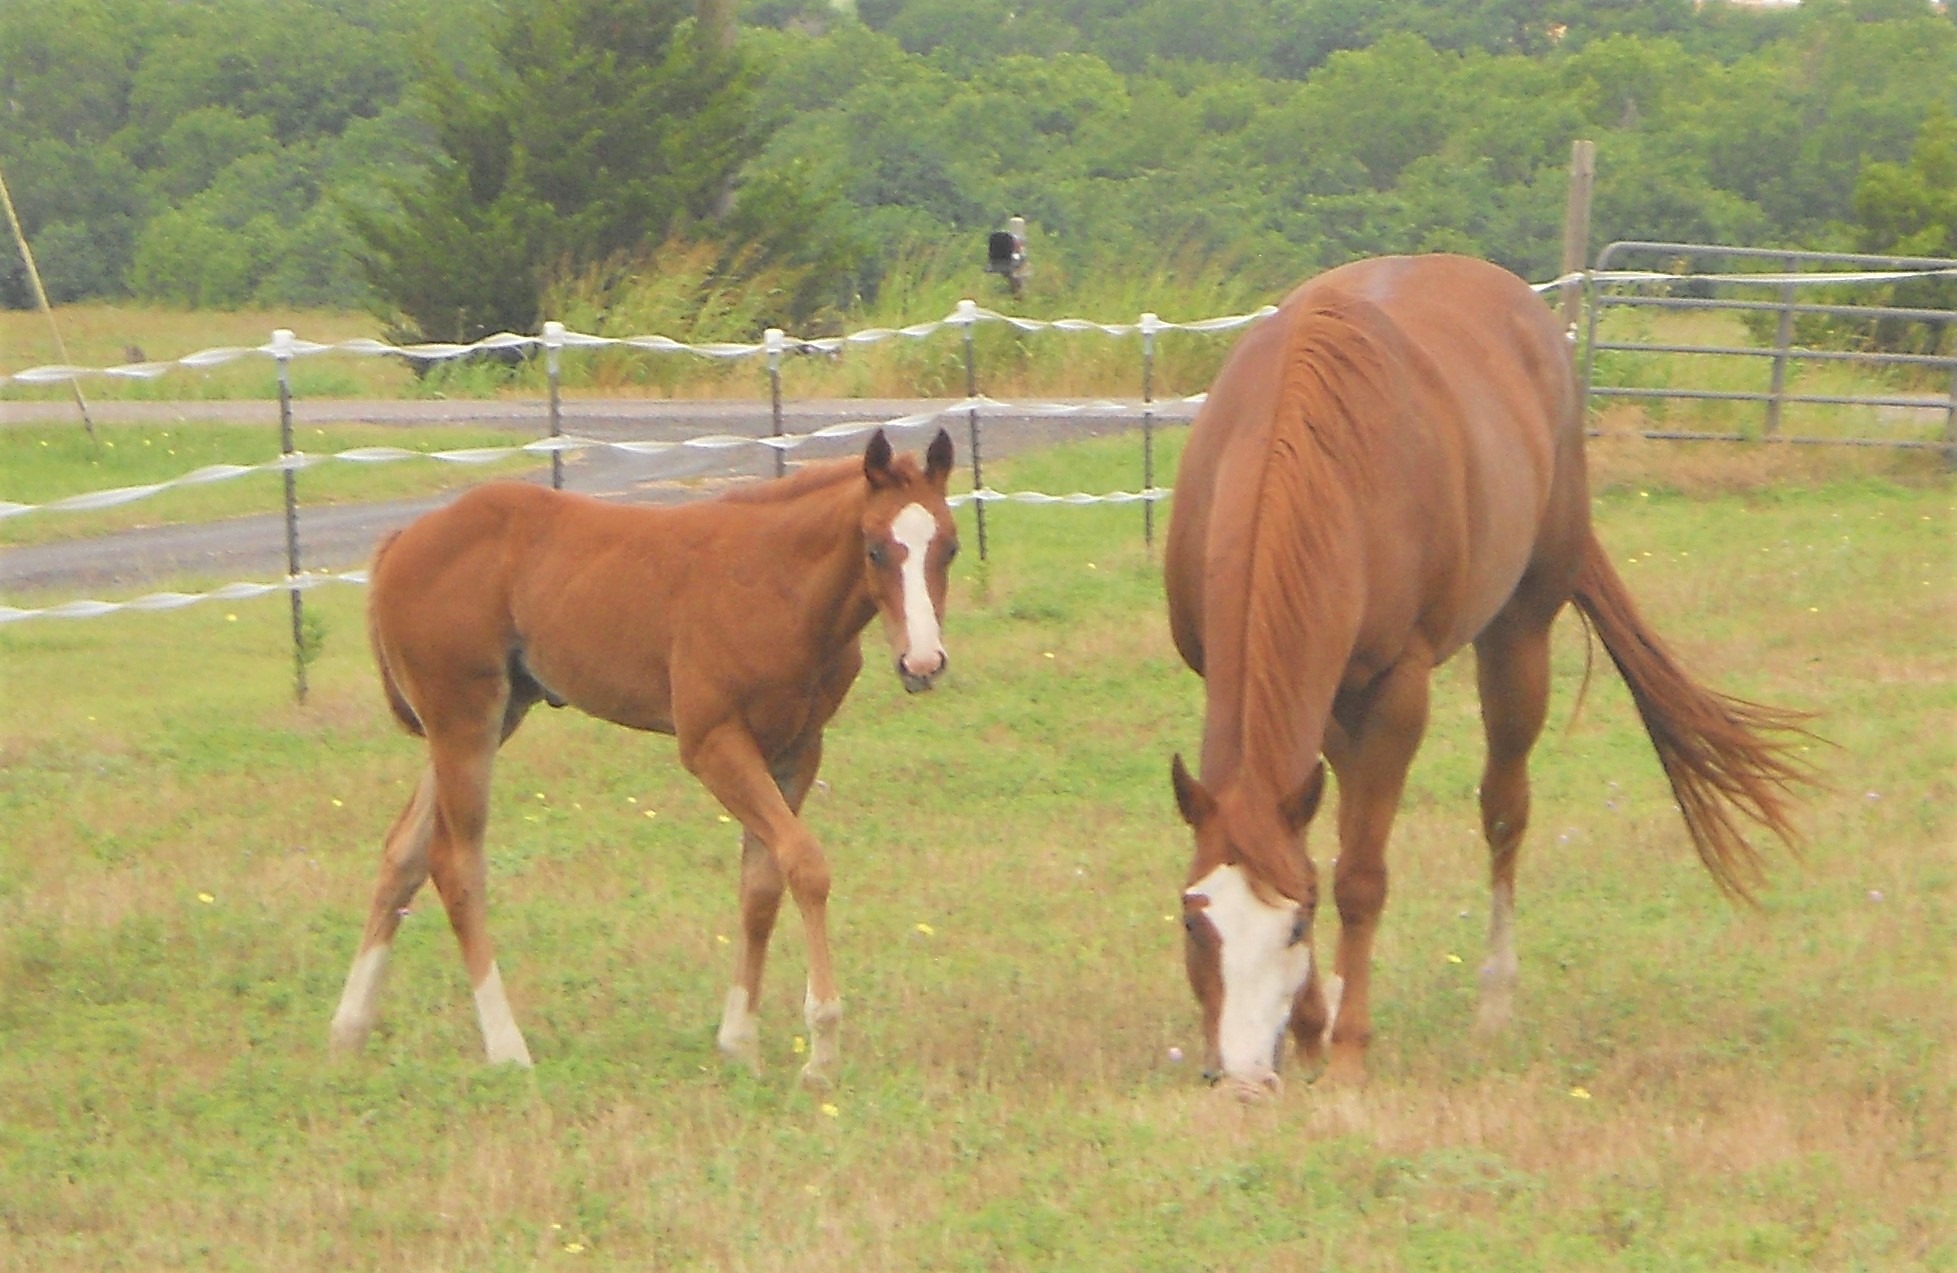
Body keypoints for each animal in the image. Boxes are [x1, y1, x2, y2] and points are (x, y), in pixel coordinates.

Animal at [329, 428, 959, 1085]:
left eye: (951, 548)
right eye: (875, 550)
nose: (922, 663)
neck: (776, 585)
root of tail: (402, 540)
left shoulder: (797, 749)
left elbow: (762, 886)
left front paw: (740, 1042)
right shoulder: (712, 742)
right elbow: (807, 866)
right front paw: (822, 1050)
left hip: (490, 717)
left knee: (403, 853)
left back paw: (348, 1031)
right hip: (464, 718)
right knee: (456, 864)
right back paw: (506, 1047)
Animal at [1163, 254, 1813, 1098]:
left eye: (1295, 924)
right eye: (1192, 918)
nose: (1241, 1077)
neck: (1296, 441)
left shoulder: (1398, 690)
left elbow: (1359, 876)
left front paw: (1347, 1051)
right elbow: (1309, 848)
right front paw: (1310, 1030)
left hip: (1518, 637)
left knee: (1504, 808)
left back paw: (1494, 1000)